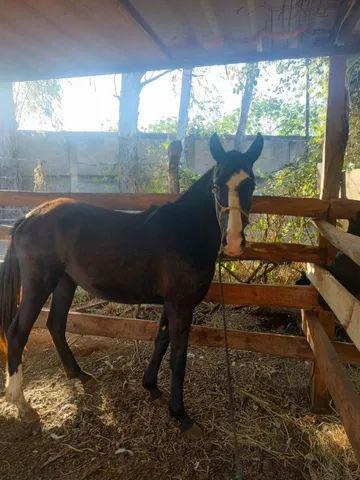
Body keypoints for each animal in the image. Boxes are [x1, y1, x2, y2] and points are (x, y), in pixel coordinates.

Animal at [0, 133, 264, 434]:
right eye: (216, 185)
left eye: (250, 184)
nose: (233, 242)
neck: (184, 231)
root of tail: (29, 217)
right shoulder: (181, 304)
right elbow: (178, 356)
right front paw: (180, 414)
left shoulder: (171, 303)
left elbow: (161, 341)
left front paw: (151, 386)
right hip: (38, 284)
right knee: (17, 332)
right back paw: (22, 404)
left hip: (65, 283)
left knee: (55, 324)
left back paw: (78, 374)